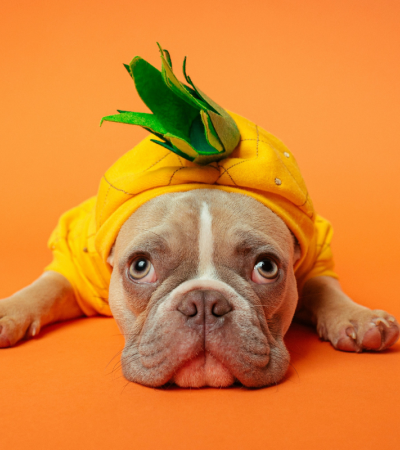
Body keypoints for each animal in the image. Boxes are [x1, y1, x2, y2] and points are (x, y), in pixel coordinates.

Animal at [1, 46, 398, 390]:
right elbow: (47, 287)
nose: (204, 303)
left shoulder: (315, 253)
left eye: (267, 267)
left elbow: (325, 287)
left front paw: (358, 317)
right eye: (140, 266)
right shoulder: (79, 265)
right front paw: (9, 310)